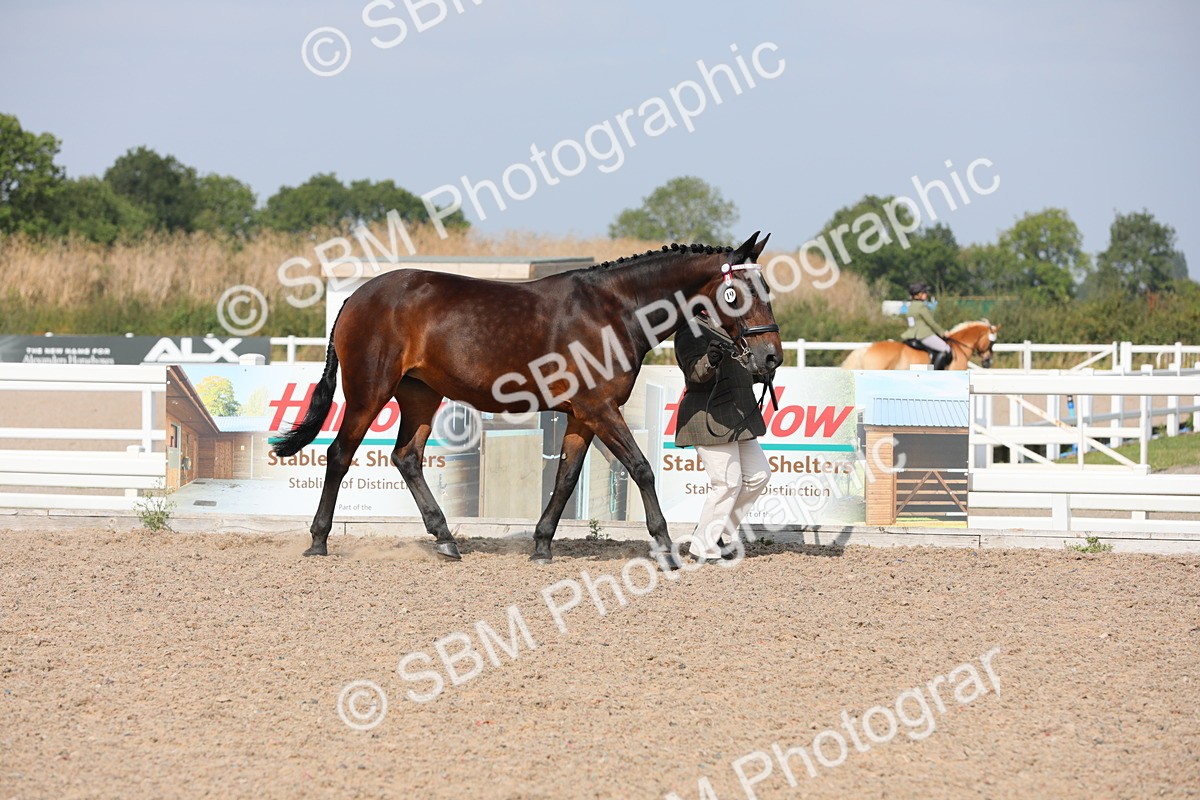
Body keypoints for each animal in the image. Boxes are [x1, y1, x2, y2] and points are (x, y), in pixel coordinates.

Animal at [271, 232, 783, 565]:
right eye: (737, 294)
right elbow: (641, 469)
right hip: (369, 391)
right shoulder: (600, 409)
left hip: (421, 394)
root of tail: (356, 297)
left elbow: (565, 479)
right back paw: (318, 541)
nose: (771, 356)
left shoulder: (581, 415)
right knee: (340, 454)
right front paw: (663, 547)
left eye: (767, 289)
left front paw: (541, 545)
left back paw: (446, 539)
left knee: (407, 458)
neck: (614, 310)